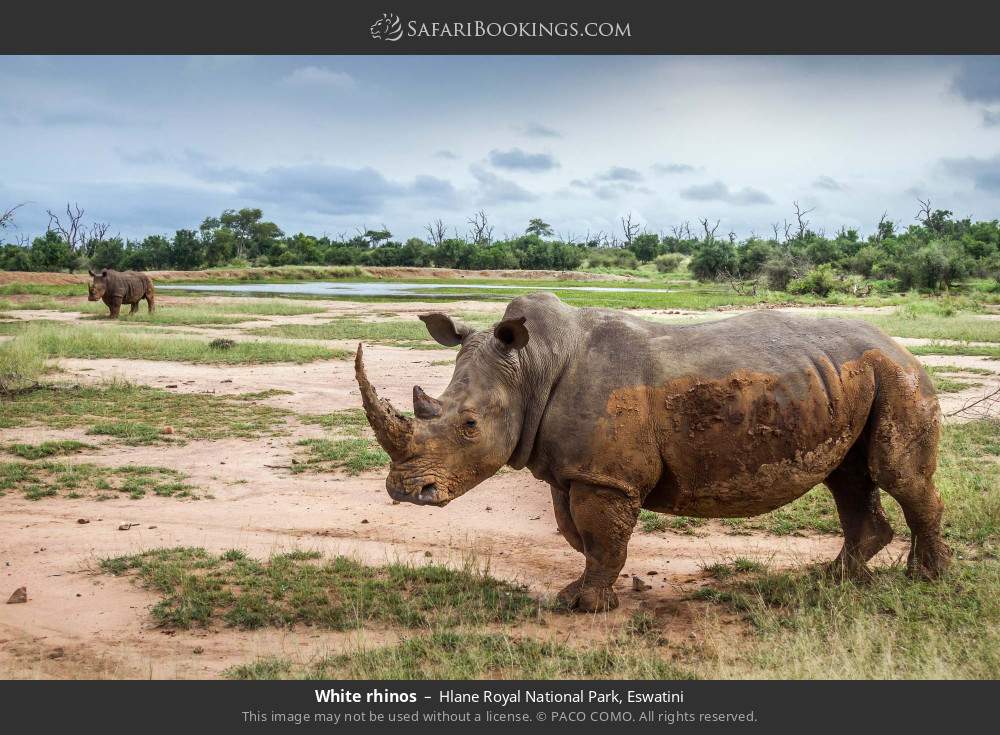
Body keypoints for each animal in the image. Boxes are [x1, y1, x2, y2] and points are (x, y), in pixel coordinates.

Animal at [356, 294, 948, 616]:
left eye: (470, 425)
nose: (407, 492)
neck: (529, 367)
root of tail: (899, 344)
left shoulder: (605, 475)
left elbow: (600, 536)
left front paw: (585, 606)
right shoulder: (577, 470)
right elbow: (579, 534)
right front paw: (589, 593)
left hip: (896, 376)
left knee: (895, 473)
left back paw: (925, 580)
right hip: (848, 378)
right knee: (848, 476)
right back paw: (836, 579)